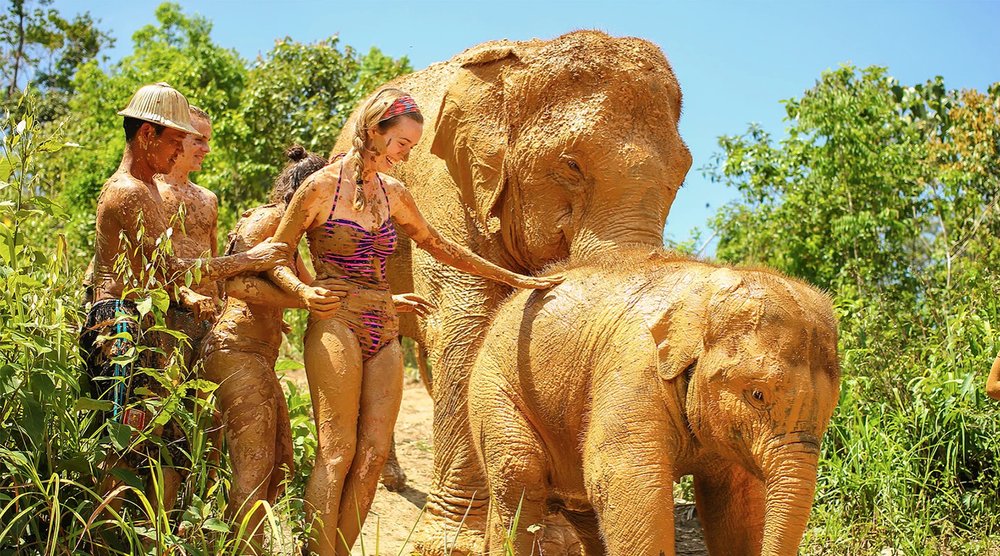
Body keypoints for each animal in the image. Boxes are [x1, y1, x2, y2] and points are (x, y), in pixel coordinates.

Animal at [332, 30, 692, 552]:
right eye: (571, 164)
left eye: (682, 175)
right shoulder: (446, 190)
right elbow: (468, 328)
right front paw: (454, 545)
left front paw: (557, 536)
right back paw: (394, 483)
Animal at [468, 247, 841, 556]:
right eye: (758, 394)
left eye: (830, 408)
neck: (705, 294)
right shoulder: (634, 368)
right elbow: (628, 483)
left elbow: (738, 500)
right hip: (492, 387)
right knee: (518, 472)